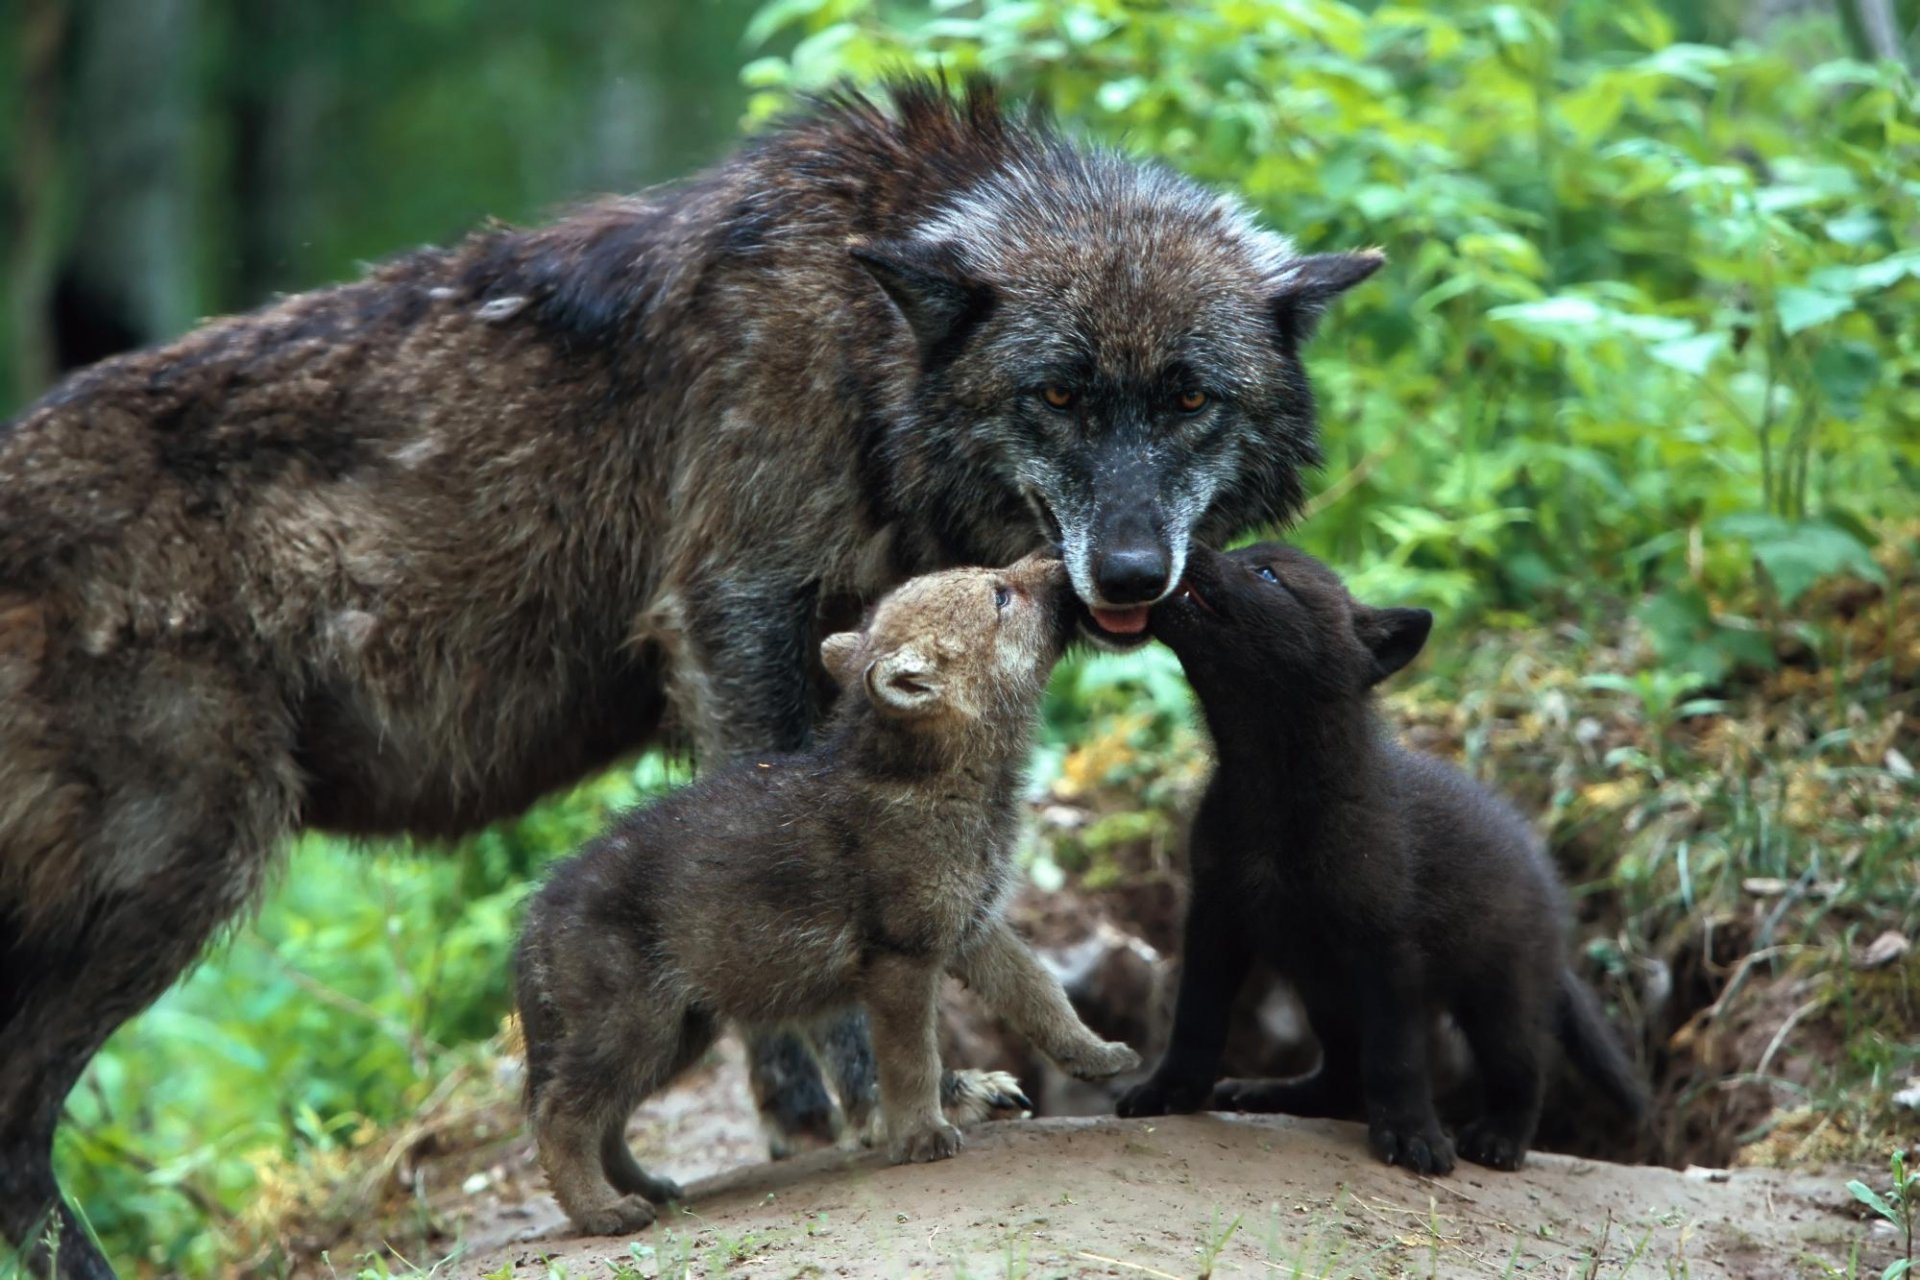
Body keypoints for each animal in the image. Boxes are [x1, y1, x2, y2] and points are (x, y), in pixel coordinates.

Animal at [516, 554, 1138, 1234]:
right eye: (1000, 595)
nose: (1056, 561)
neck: (937, 782)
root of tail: (534, 918)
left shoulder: (972, 930)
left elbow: (1042, 995)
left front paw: (1097, 1054)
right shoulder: (900, 960)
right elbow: (911, 1057)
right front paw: (922, 1137)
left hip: (678, 1033)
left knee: (604, 1121)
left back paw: (649, 1190)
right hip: (634, 1028)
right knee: (560, 1119)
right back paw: (604, 1213)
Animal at [1114, 544, 1646, 1173]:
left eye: (1266, 573)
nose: (1186, 547)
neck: (1274, 791)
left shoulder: (1388, 948)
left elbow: (1398, 1058)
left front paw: (1413, 1135)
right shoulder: (1215, 917)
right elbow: (1195, 1020)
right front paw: (1169, 1092)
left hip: (1502, 995)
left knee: (1521, 1071)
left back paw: (1499, 1140)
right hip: (1326, 990)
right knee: (1342, 1076)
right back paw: (1271, 1093)